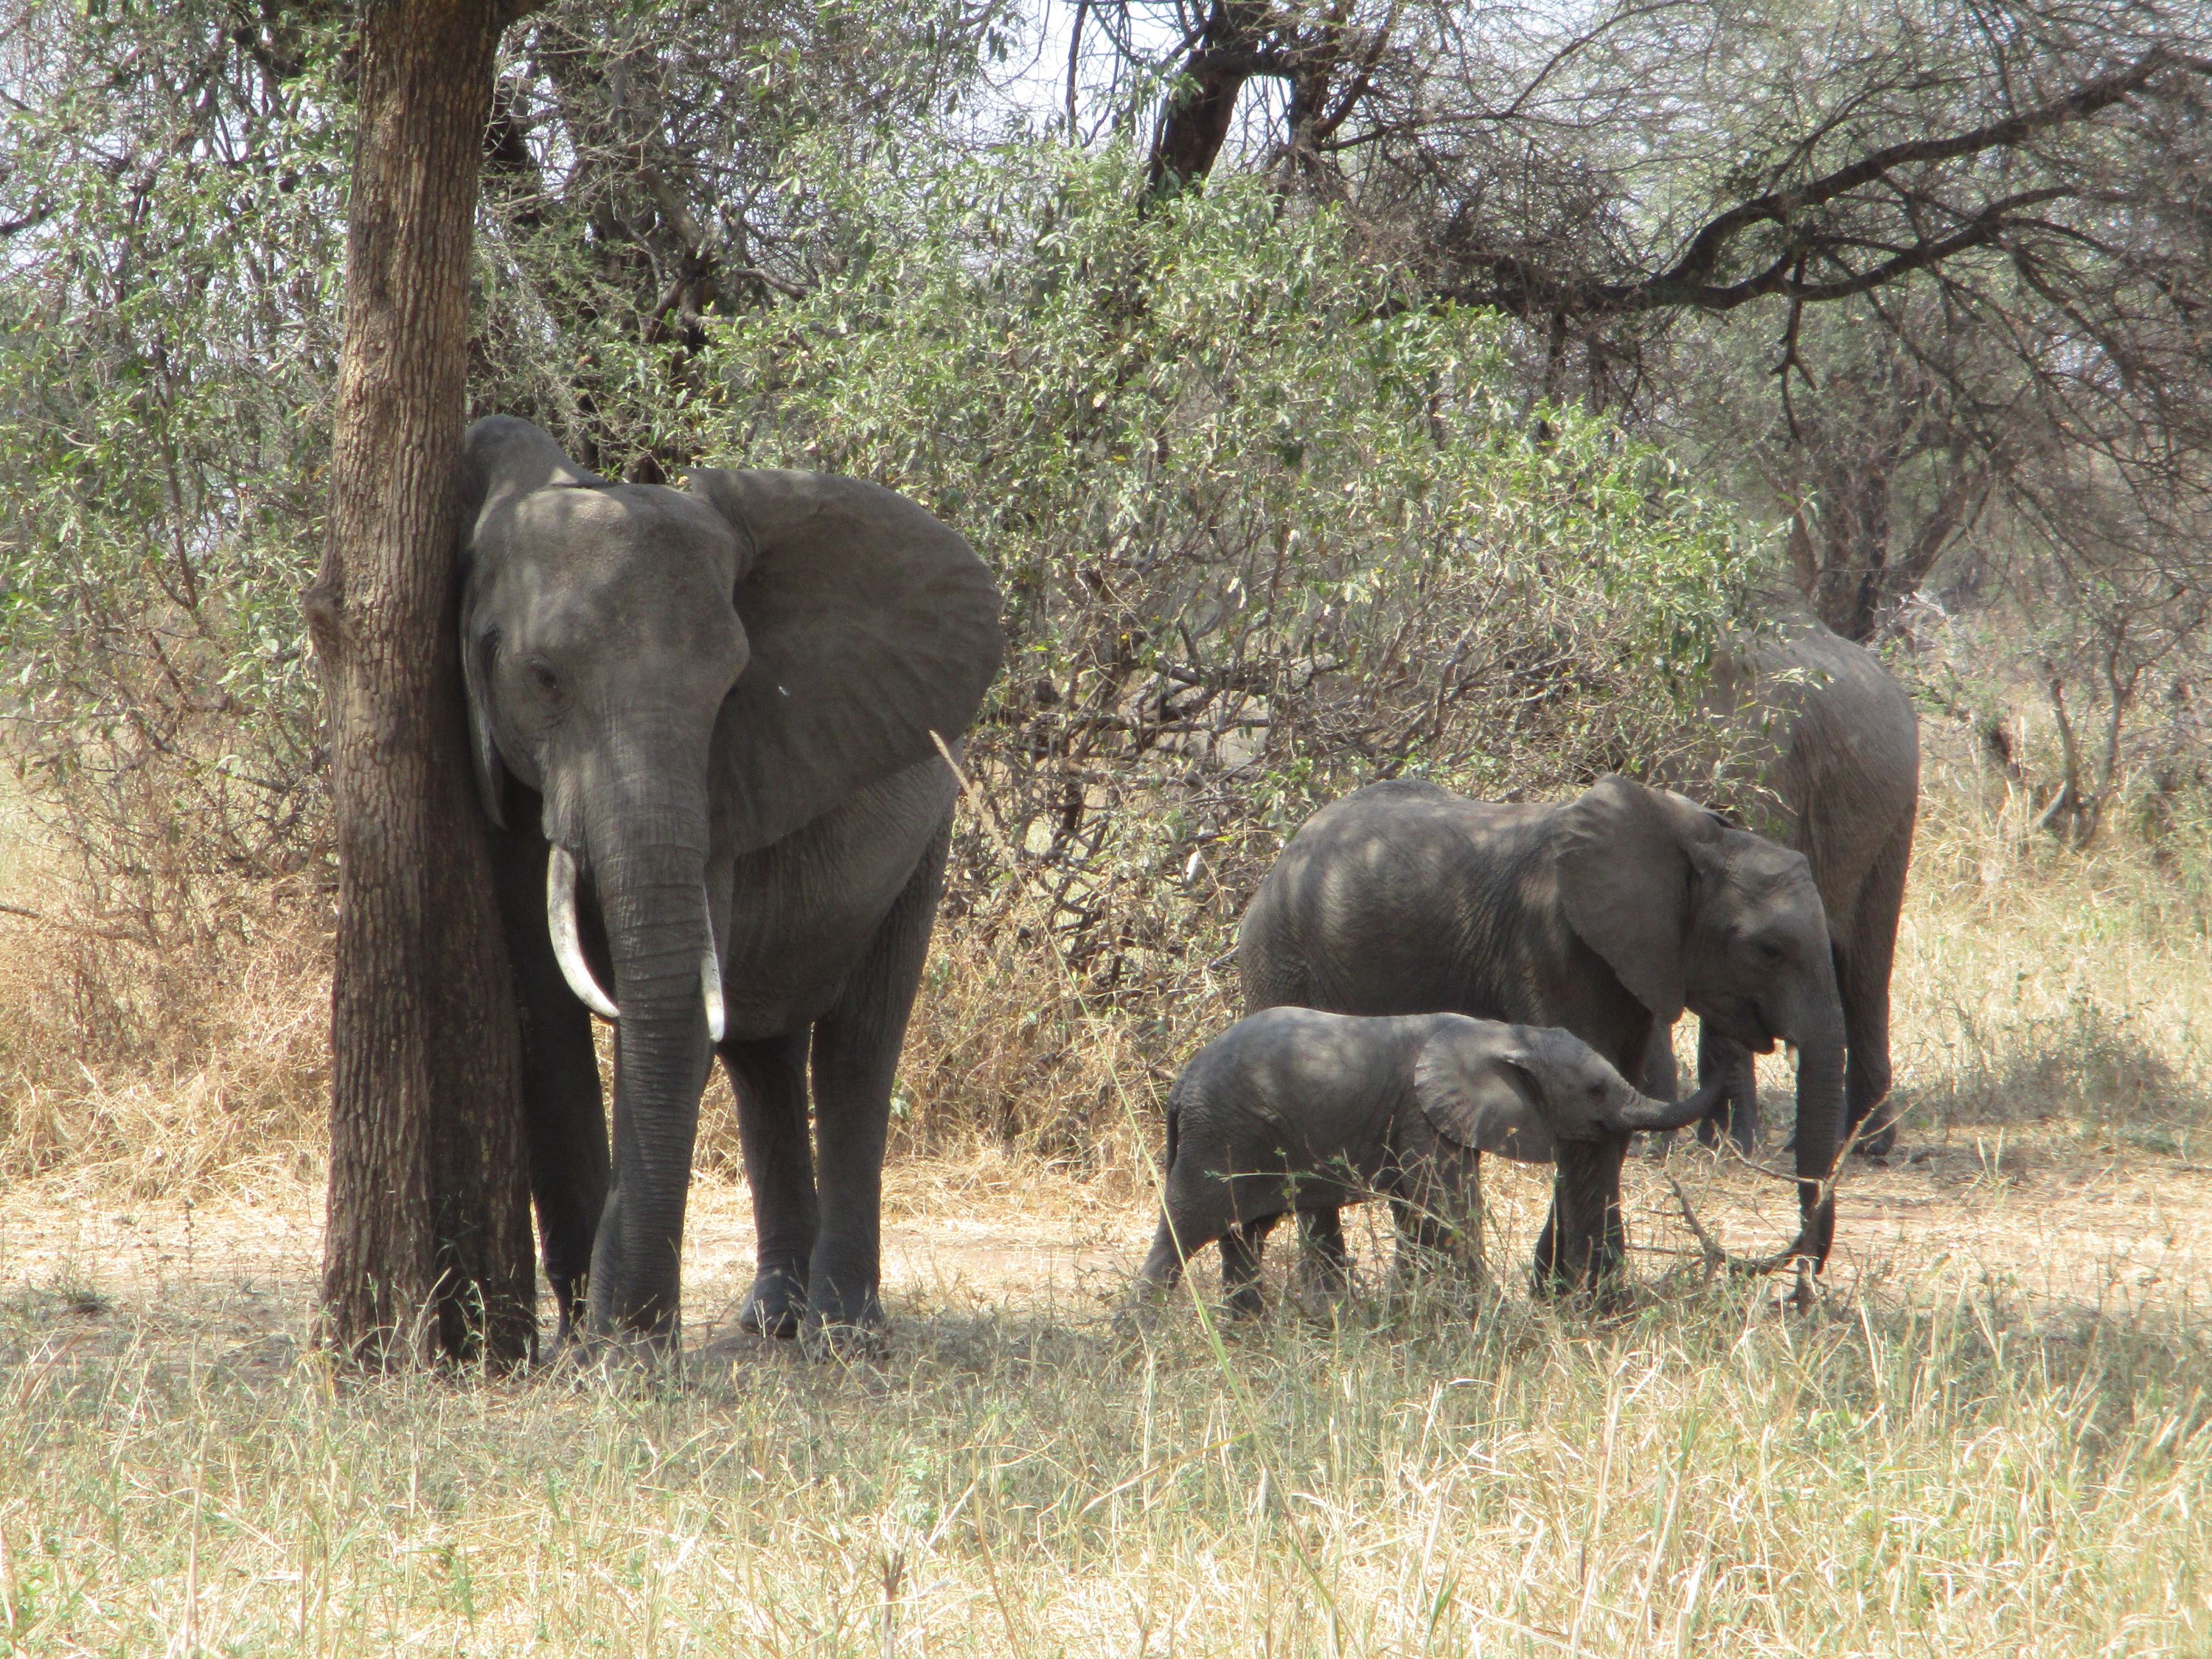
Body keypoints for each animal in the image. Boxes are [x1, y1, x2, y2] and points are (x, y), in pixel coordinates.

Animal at [460, 414, 1013, 1354]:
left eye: (731, 687)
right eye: (544, 679)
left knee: (856, 1052)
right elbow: (543, 1013)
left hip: (929, 822)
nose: (602, 1324)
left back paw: (841, 1332)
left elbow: (676, 1019)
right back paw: (772, 1320)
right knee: (762, 1056)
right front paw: (589, 1340)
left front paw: (627, 1347)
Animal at [1124, 1009, 1725, 1318]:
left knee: (1244, 1237)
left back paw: (1247, 1339)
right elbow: (1447, 1209)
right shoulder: (1421, 1111)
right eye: (1596, 1090)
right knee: (1185, 1228)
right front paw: (1490, 1319)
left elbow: (1419, 1214)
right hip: (1220, 1135)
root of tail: (1180, 1084)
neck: (1503, 1033)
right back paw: (1135, 1347)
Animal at [1248, 779, 1849, 1301]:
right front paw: (1593, 1305)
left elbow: (1609, 1114)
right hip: (1281, 960)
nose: (1795, 1297)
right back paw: (1329, 1298)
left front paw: (1562, 1291)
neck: (1699, 839)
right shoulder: (1552, 945)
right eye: (1769, 951)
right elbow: (1587, 1110)